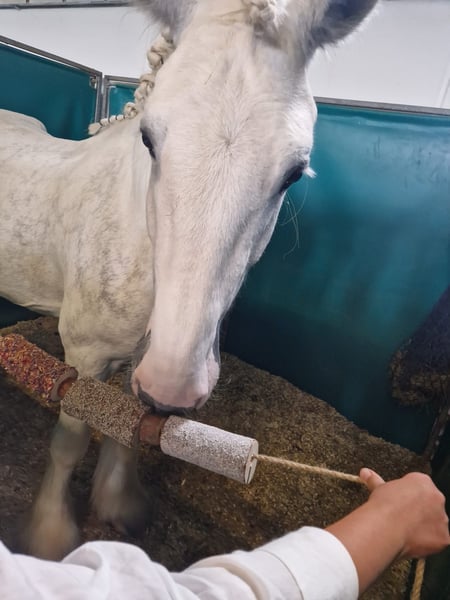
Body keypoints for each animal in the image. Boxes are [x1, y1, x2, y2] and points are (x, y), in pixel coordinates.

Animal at [0, 0, 377, 560]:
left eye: (294, 171)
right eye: (149, 139)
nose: (174, 381)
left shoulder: (136, 363)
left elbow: (130, 430)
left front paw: (119, 505)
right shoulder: (84, 356)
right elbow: (70, 441)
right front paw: (49, 535)